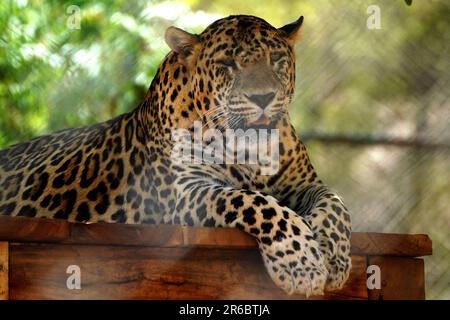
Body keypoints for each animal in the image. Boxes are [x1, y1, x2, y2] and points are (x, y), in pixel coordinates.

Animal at [0, 14, 352, 296]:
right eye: (227, 64)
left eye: (276, 58)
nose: (263, 97)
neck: (250, 149)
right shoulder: (187, 192)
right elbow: (258, 204)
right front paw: (302, 263)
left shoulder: (304, 184)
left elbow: (336, 203)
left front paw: (335, 259)